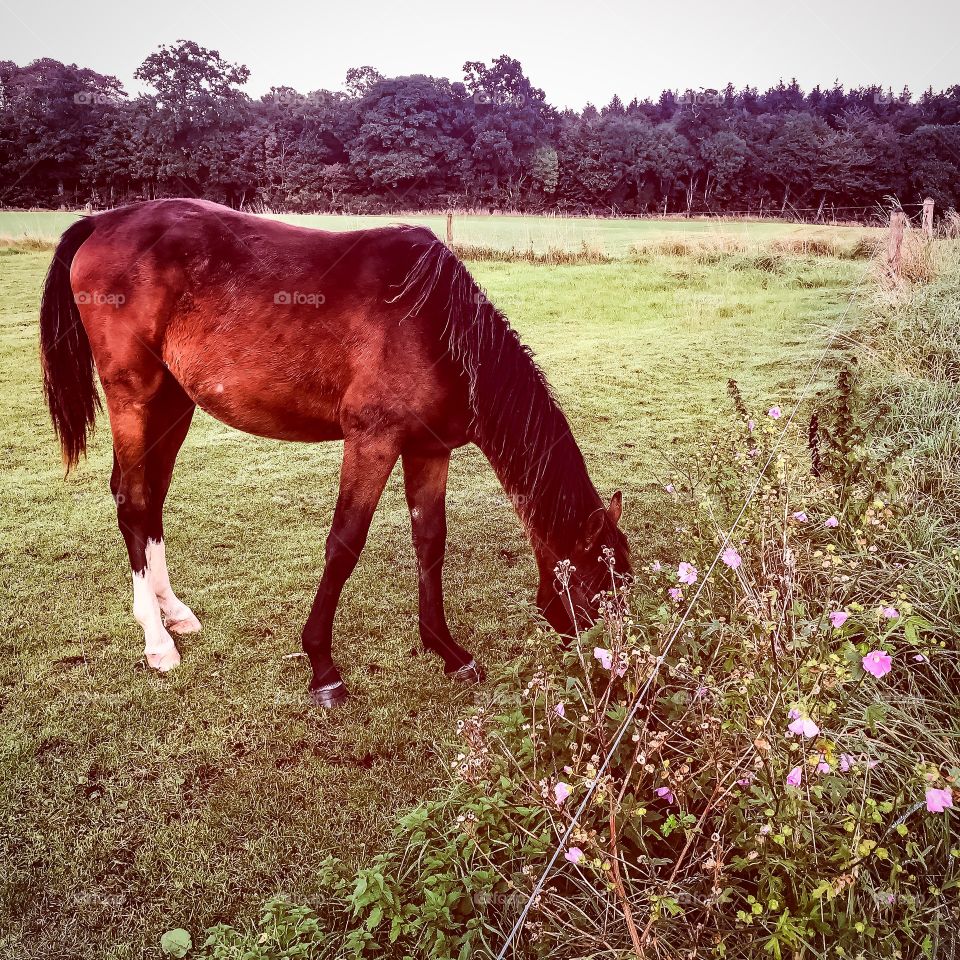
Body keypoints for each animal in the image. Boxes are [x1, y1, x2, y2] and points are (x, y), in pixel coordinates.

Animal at [41, 197, 632, 704]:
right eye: (595, 592)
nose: (616, 678)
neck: (435, 325)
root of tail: (103, 221)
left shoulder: (428, 449)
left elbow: (430, 542)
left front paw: (445, 649)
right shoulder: (372, 442)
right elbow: (345, 544)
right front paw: (323, 667)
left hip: (172, 403)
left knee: (151, 500)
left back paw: (174, 613)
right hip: (134, 398)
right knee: (135, 502)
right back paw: (157, 640)